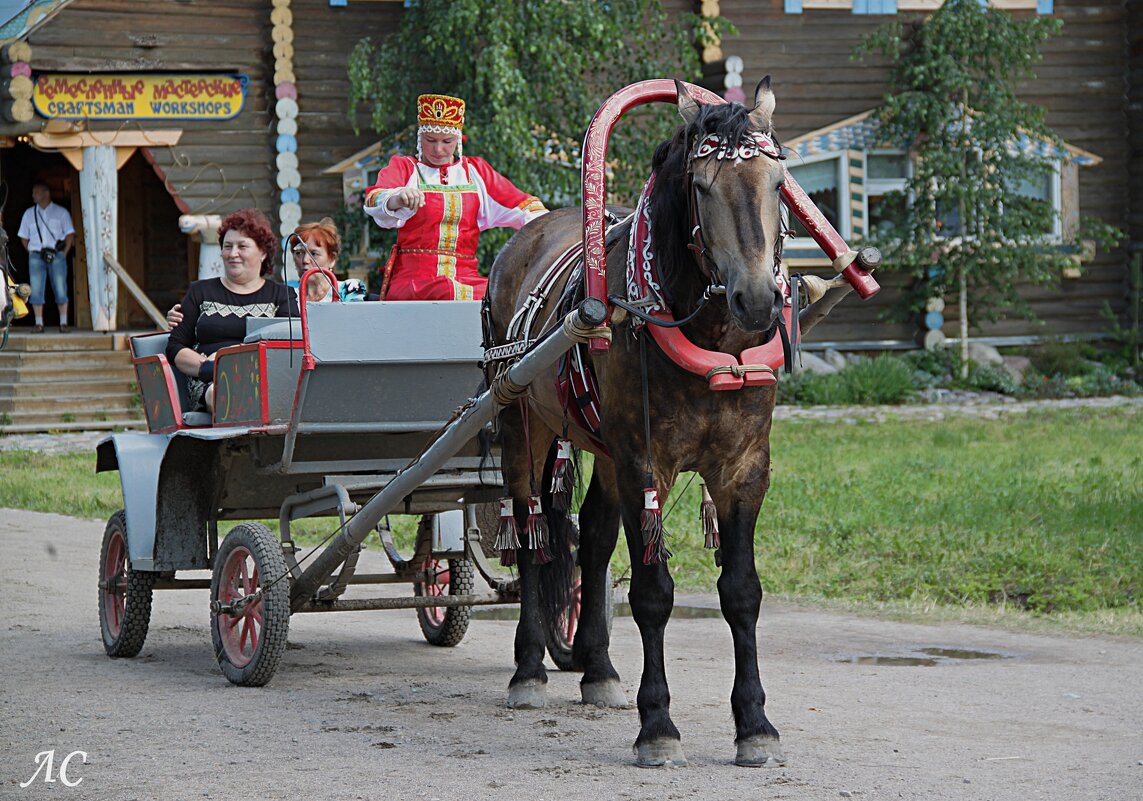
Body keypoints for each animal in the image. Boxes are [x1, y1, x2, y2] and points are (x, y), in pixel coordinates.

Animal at [482, 78, 832, 763]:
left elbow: (741, 592)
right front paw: (658, 724)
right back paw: (529, 669)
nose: (757, 299)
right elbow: (652, 593)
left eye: (779, 182)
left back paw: (596, 669)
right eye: (700, 185)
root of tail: (528, 234)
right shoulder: (646, 462)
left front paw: (754, 723)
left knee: (590, 538)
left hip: (603, 447)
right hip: (522, 421)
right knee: (533, 532)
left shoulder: (744, 469)